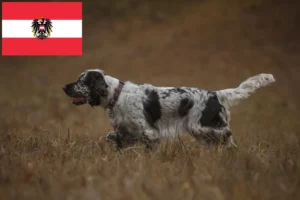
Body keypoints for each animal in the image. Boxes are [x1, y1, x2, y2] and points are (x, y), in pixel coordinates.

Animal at [62, 69, 274, 149]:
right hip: (201, 133)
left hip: (200, 127)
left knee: (227, 134)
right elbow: (115, 138)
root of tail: (216, 94)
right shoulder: (127, 132)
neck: (117, 95)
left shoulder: (149, 133)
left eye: (82, 80)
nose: (64, 87)